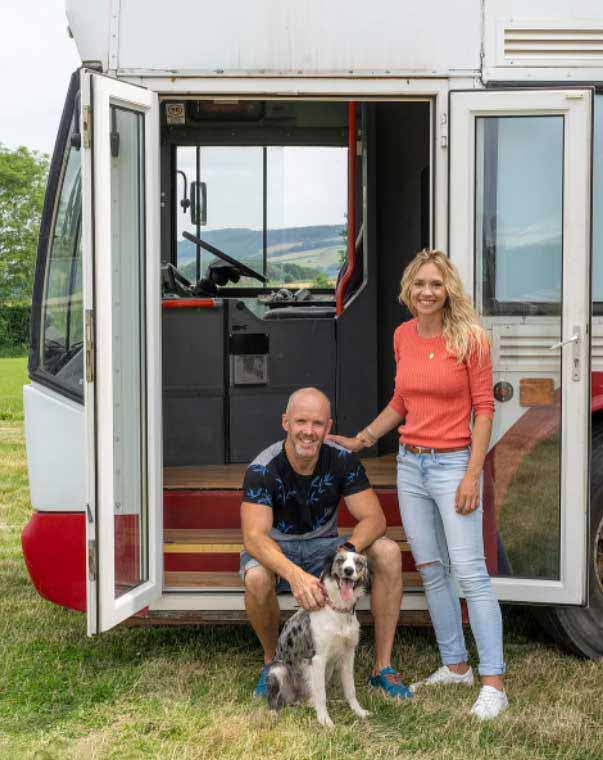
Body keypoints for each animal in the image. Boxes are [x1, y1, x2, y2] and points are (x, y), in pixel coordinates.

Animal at [266, 548, 370, 728]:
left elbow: (350, 689)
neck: (339, 612)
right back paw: (273, 713)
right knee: (275, 700)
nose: (348, 571)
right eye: (340, 560)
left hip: (327, 670)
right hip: (278, 670)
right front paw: (324, 719)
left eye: (358, 563)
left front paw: (358, 711)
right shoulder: (318, 658)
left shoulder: (348, 655)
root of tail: (297, 697)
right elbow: (321, 694)